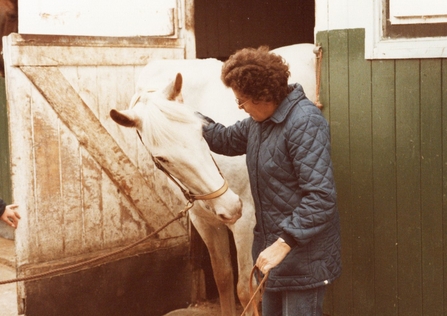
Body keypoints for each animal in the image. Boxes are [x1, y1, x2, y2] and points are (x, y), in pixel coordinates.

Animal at [110, 43, 316, 314]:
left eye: (200, 131)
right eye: (162, 158)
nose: (231, 206)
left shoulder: (246, 222)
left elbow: (245, 289)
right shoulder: (205, 222)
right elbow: (223, 278)